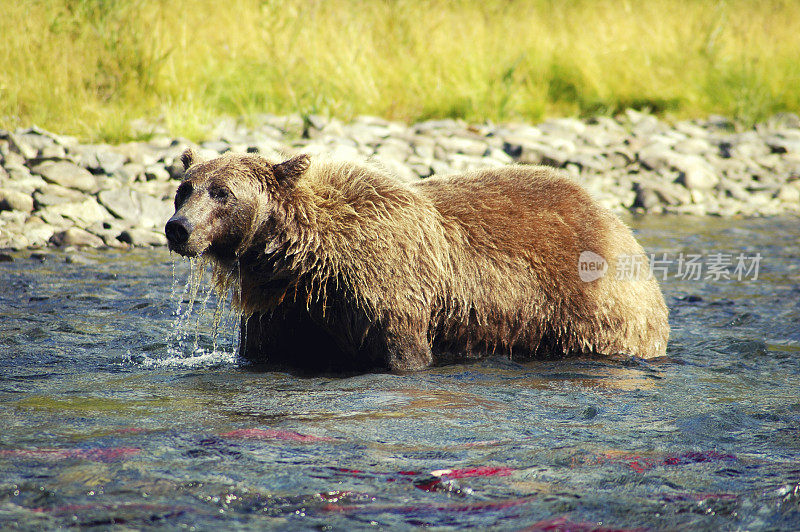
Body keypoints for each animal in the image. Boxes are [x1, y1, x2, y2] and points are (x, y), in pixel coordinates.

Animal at [167, 149, 668, 374]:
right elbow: (267, 349)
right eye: (185, 188)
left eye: (222, 193)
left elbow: (404, 349)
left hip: (591, 308)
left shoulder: (387, 282)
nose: (178, 228)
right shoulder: (288, 307)